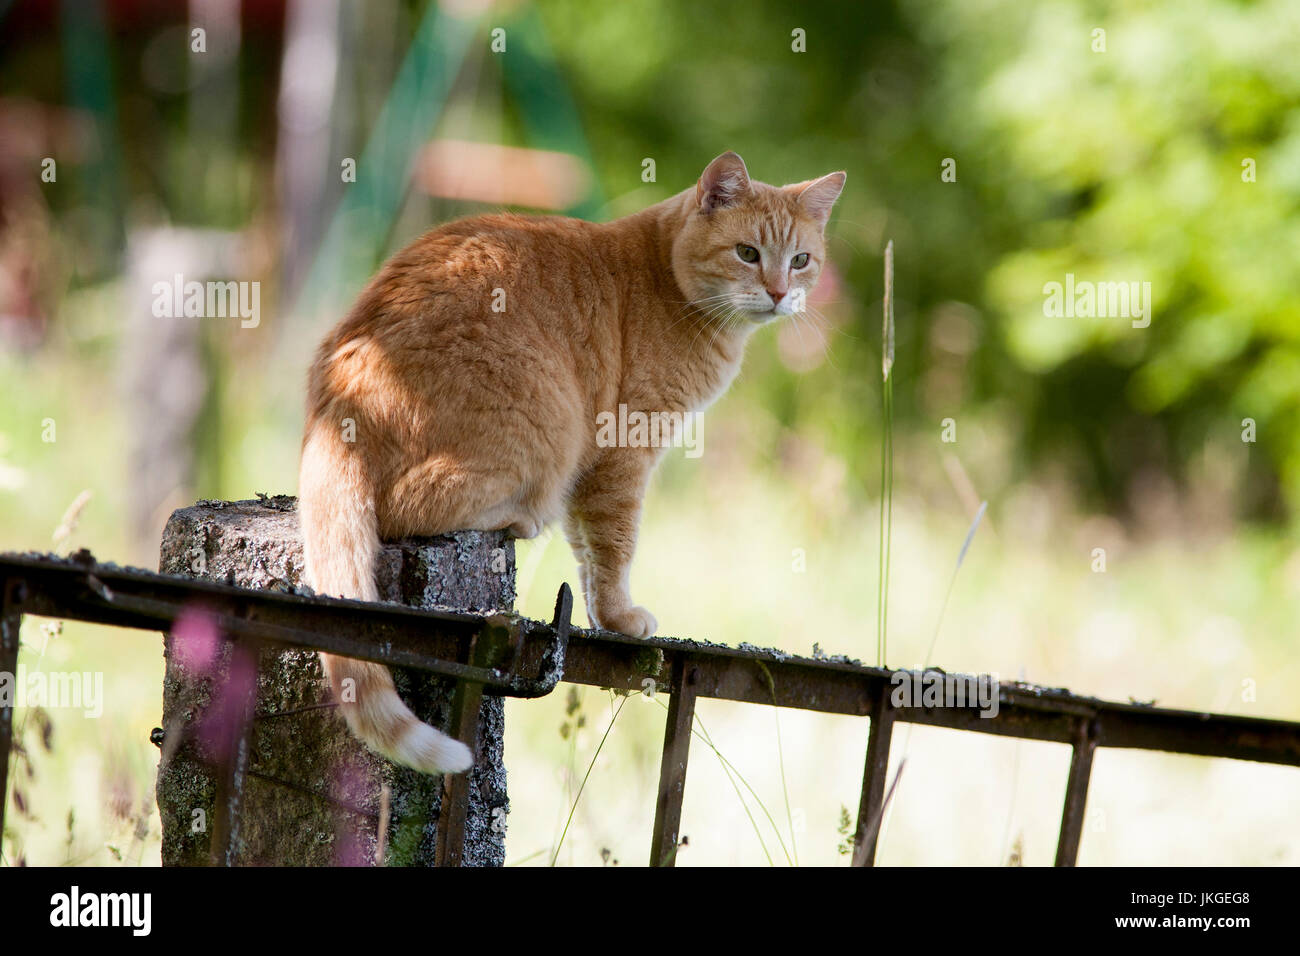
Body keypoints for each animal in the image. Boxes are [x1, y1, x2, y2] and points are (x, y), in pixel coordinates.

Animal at [300, 151, 847, 780]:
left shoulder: (590, 477)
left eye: (801, 260)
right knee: (405, 508)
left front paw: (599, 614)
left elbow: (587, 552)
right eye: (748, 253)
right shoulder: (625, 450)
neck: (665, 277)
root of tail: (338, 399)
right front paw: (619, 617)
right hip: (547, 420)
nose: (780, 292)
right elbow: (616, 545)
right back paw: (515, 517)